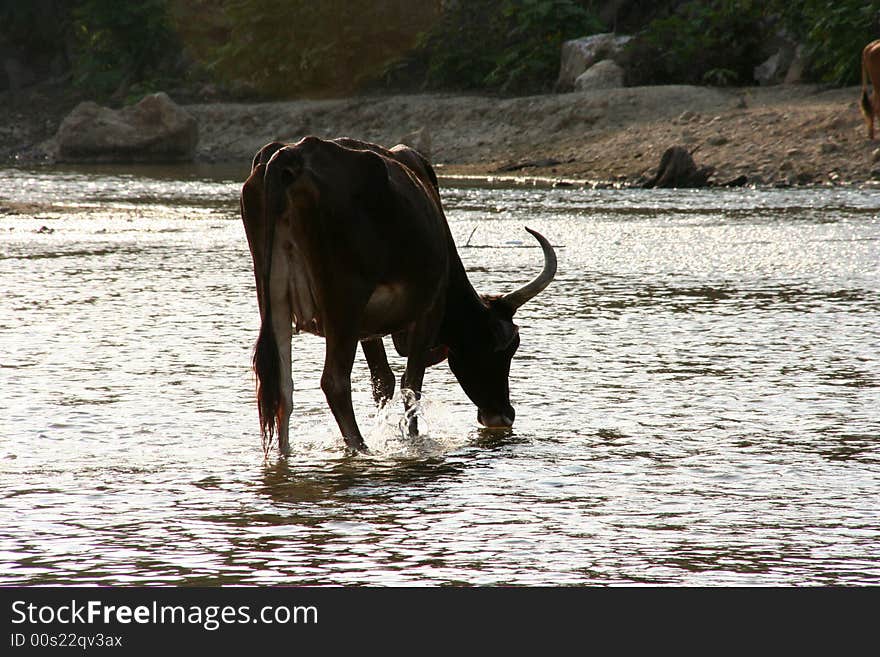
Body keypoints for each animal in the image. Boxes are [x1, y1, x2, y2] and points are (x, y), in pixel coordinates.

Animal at [239, 136, 556, 454]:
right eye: (507, 348)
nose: (502, 414)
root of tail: (292, 156)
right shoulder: (429, 310)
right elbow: (410, 384)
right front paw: (411, 439)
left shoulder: (367, 329)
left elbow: (383, 380)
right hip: (344, 302)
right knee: (334, 382)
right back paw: (361, 448)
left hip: (274, 298)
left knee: (280, 387)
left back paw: (285, 455)